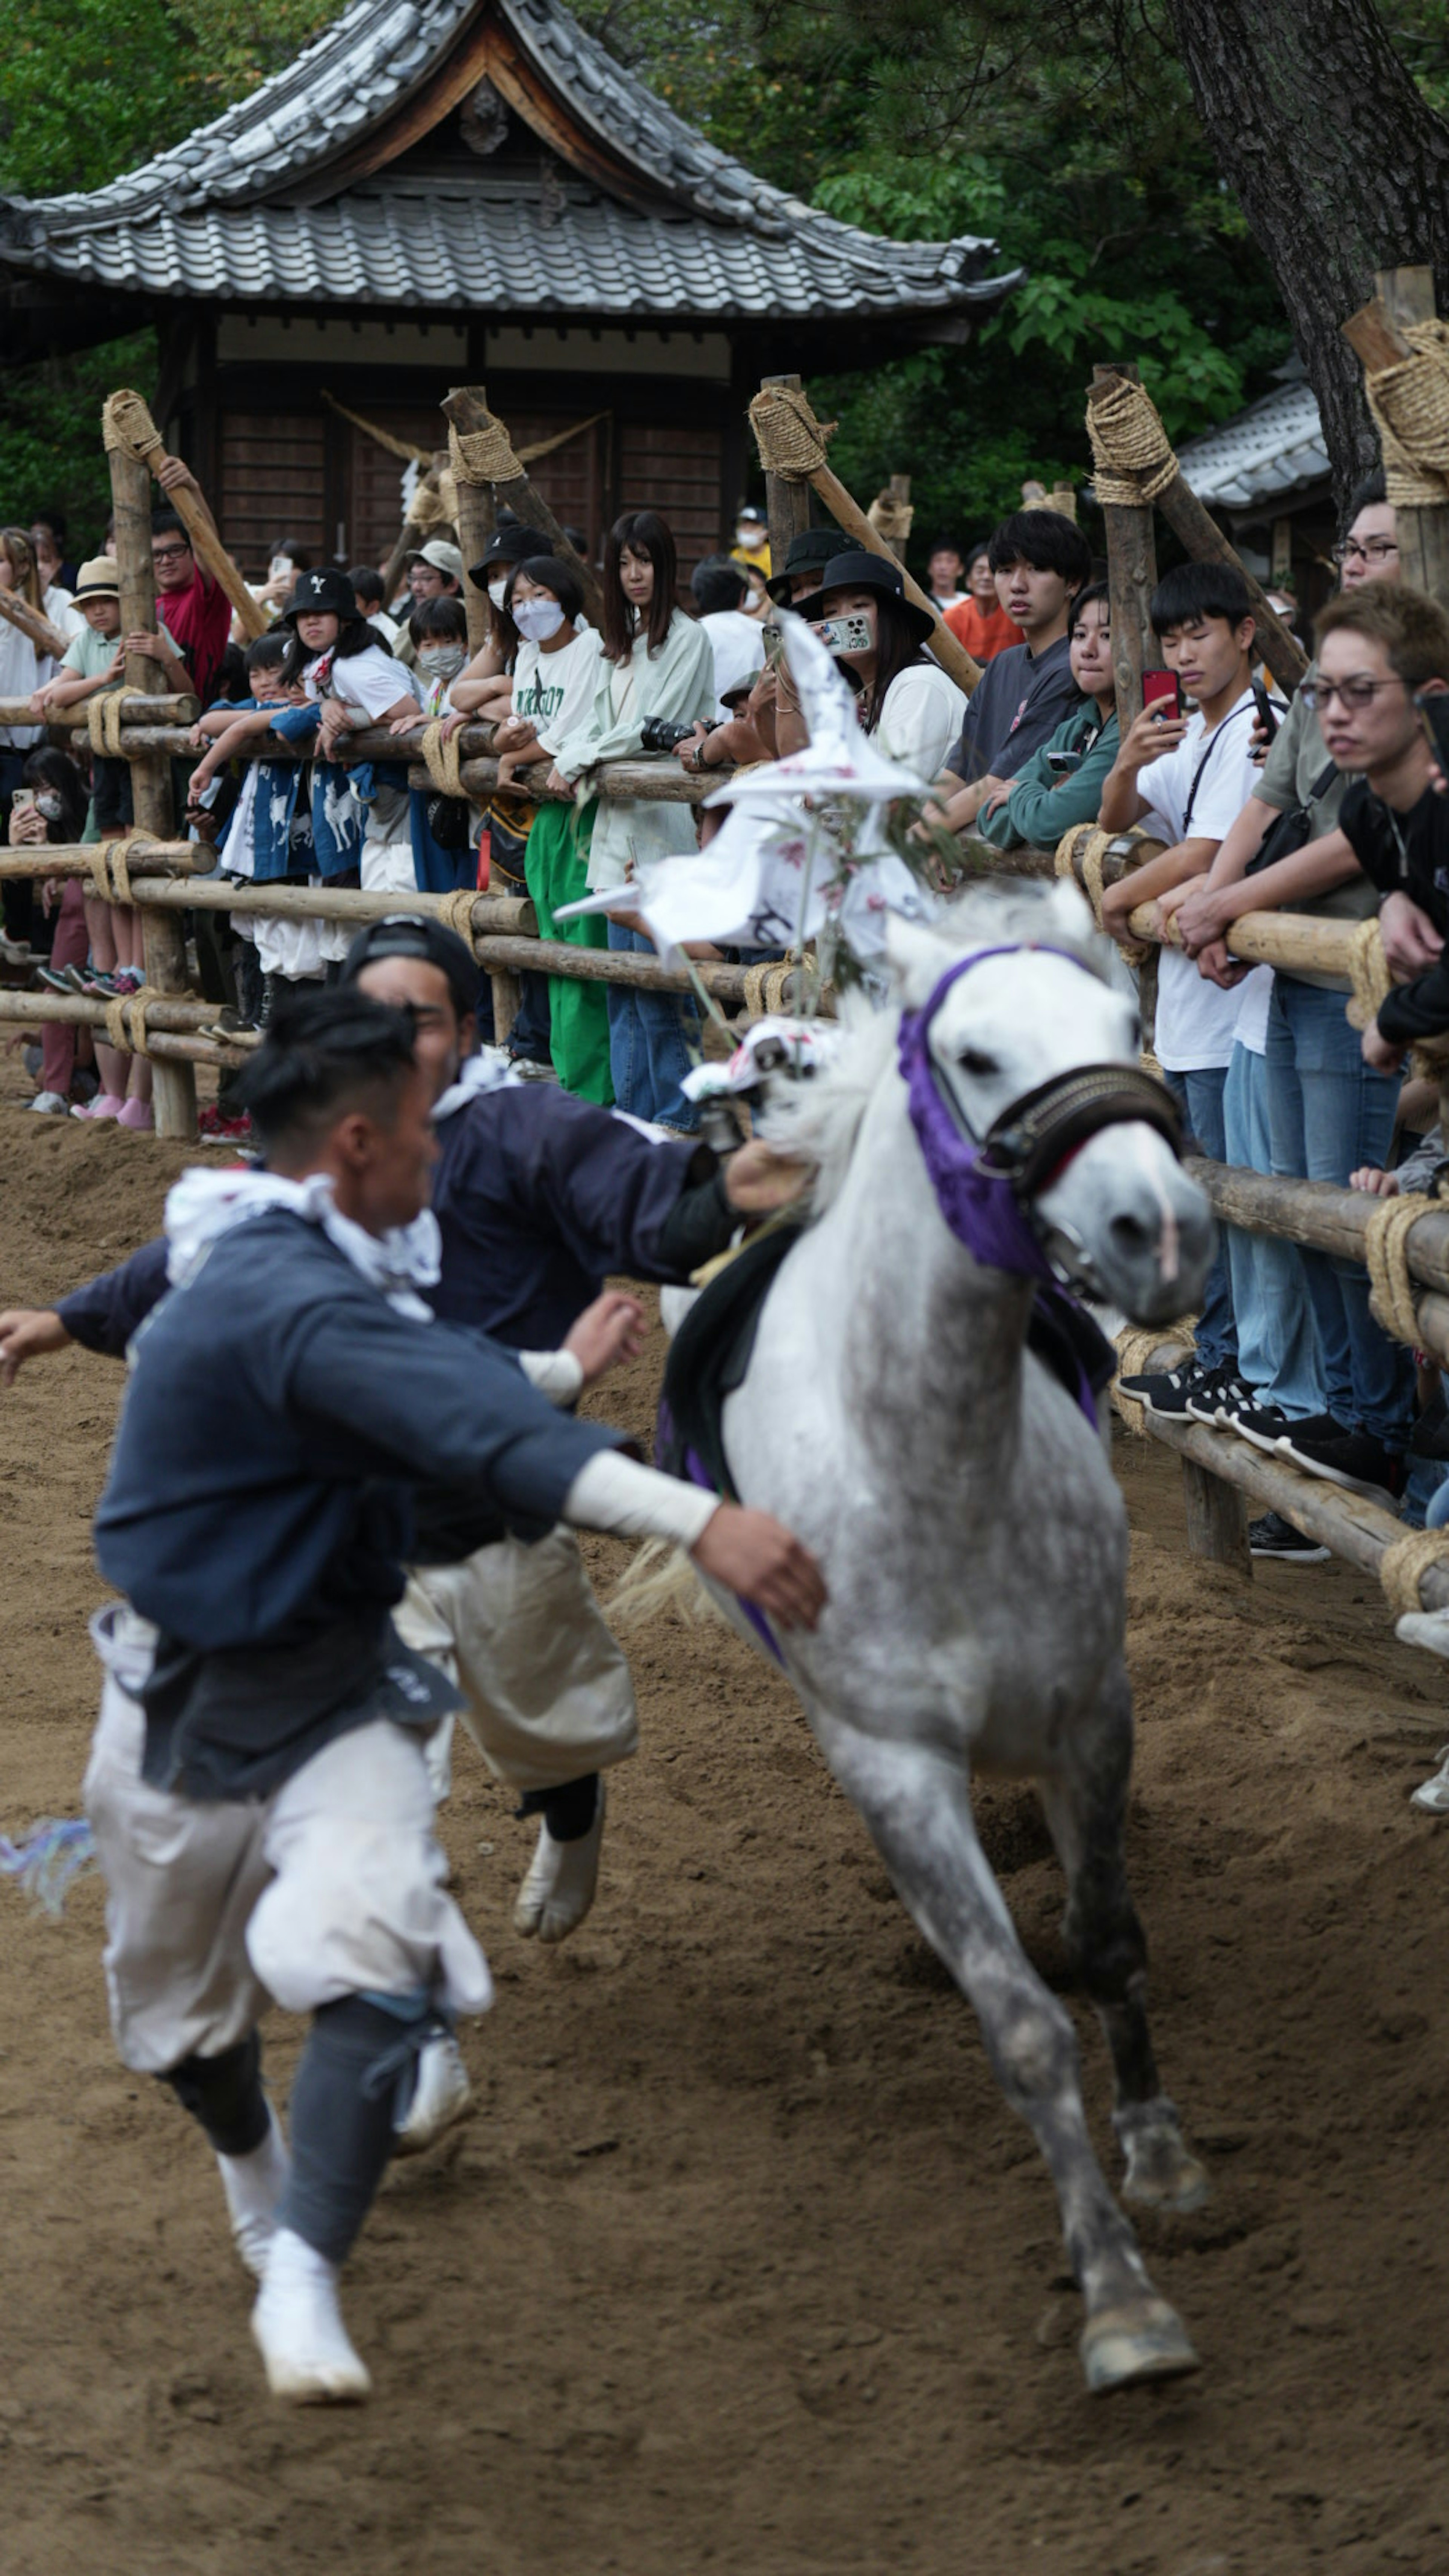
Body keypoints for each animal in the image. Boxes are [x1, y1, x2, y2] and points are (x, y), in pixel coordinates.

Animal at [670, 886, 1212, 2390]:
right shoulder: (892, 1761)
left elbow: (1110, 1940)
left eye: (1126, 1021)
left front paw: (1160, 2157)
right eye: (972, 1055)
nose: (1161, 1230)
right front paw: (1120, 2299)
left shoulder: (1093, 1710)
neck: (935, 1461)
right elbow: (1021, 2019)